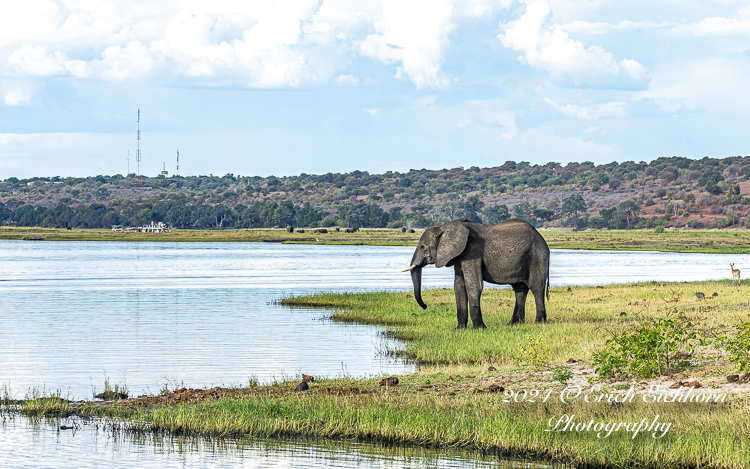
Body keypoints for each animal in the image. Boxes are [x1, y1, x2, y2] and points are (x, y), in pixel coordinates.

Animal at [406, 218, 552, 328]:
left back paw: (539, 322)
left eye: (422, 246)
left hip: (537, 256)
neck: (444, 227)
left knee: (536, 288)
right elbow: (459, 286)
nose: (425, 306)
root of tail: (542, 238)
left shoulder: (472, 251)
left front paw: (479, 328)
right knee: (519, 290)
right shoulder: (460, 254)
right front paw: (459, 329)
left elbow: (474, 285)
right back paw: (513, 324)